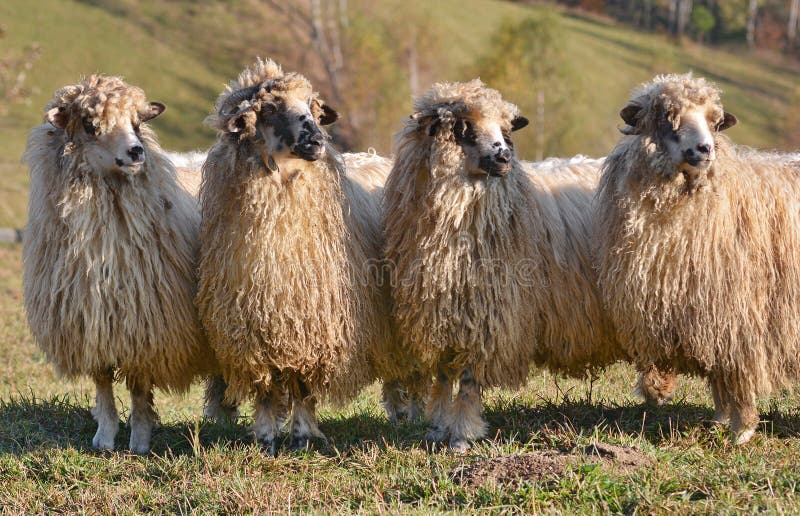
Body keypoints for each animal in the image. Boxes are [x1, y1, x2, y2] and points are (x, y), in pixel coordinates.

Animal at [21, 75, 228, 452]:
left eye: (136, 123)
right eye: (89, 125)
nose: (136, 152)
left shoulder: (143, 326)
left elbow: (137, 388)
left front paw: (140, 439)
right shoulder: (93, 321)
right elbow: (103, 383)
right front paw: (104, 436)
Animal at [197, 57, 418, 452]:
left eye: (313, 107)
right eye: (269, 108)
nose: (315, 140)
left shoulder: (314, 329)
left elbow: (302, 388)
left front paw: (301, 436)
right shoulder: (256, 331)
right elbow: (266, 391)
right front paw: (266, 438)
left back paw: (403, 412)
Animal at [592, 72, 800, 444]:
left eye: (715, 122)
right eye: (665, 116)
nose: (705, 149)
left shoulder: (736, 316)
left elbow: (737, 377)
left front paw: (743, 430)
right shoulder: (703, 314)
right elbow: (718, 380)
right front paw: (720, 420)